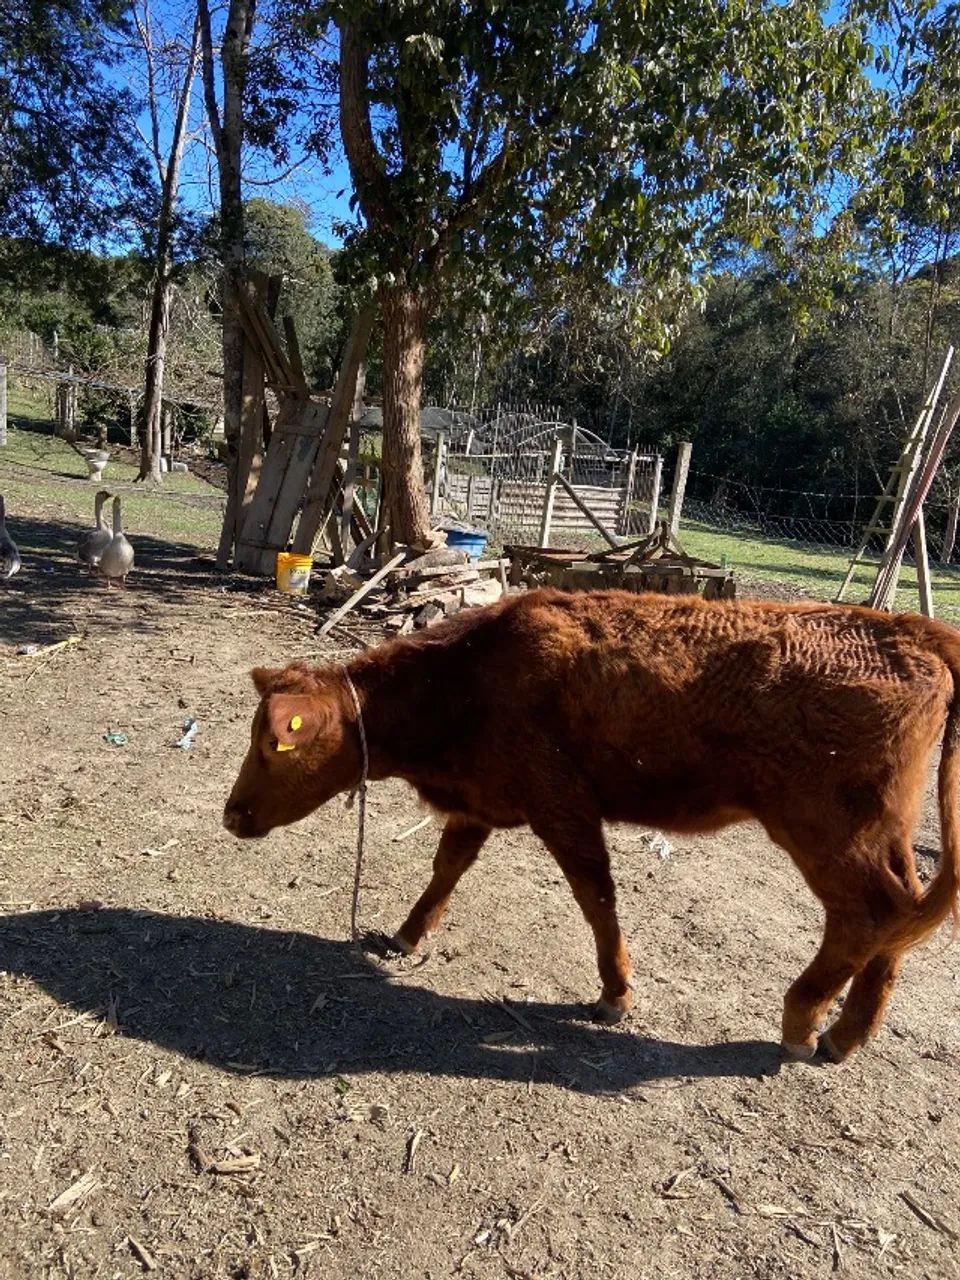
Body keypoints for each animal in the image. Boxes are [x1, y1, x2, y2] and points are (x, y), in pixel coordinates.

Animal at [224, 588, 960, 1063]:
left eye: (272, 744)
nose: (231, 815)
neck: (469, 674)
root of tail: (905, 628)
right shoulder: (479, 801)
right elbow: (448, 866)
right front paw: (407, 934)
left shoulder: (563, 805)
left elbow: (594, 895)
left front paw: (615, 992)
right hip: (883, 834)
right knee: (904, 912)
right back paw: (848, 1034)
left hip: (829, 831)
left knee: (869, 915)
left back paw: (804, 1021)